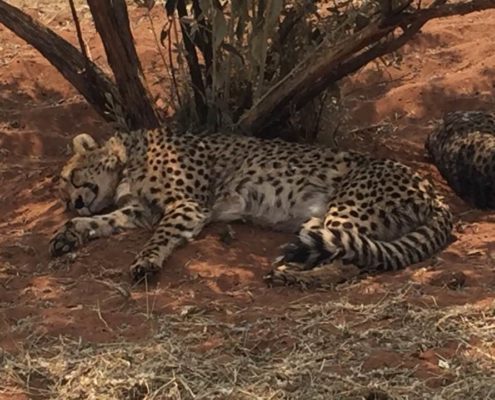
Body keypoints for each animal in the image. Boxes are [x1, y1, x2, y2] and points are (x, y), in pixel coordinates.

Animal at [49, 126, 454, 286]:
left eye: (70, 177)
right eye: (65, 196)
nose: (75, 204)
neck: (128, 157)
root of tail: (433, 191)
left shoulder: (187, 205)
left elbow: (159, 237)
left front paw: (146, 262)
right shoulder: (142, 210)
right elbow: (104, 223)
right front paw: (68, 234)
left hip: (343, 212)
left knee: (349, 263)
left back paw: (292, 277)